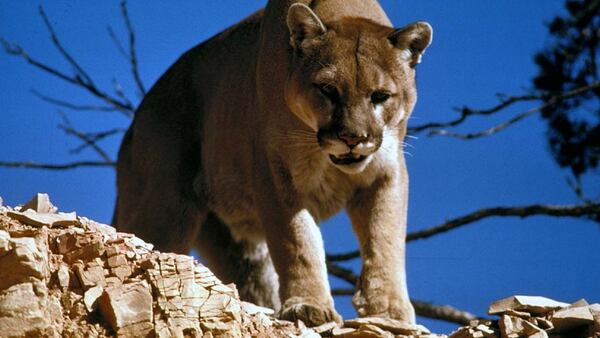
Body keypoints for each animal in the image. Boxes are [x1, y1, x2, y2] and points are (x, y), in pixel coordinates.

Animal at [113, 0, 432, 326]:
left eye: (380, 96)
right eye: (328, 89)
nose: (352, 138)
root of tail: (135, 122)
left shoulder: (386, 172)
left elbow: (385, 239)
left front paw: (389, 310)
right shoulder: (276, 173)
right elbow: (297, 241)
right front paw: (309, 306)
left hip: (236, 246)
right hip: (163, 209)